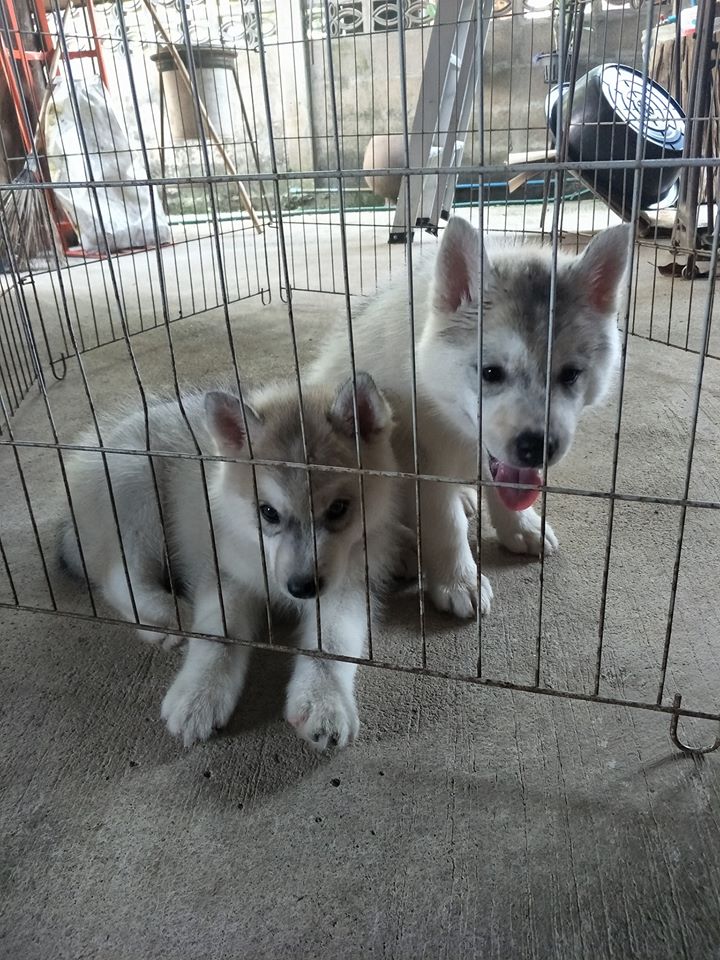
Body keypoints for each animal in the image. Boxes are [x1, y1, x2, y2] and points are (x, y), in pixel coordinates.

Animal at [58, 373, 399, 749]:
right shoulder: (224, 573)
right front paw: (198, 694)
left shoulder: (347, 586)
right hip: (135, 488)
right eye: (268, 512)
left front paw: (324, 699)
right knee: (119, 574)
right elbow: (219, 634)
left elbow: (334, 643)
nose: (302, 588)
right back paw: (165, 615)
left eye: (338, 508)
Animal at [311, 217, 631, 617]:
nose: (537, 447)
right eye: (491, 373)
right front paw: (459, 580)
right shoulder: (420, 455)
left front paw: (519, 526)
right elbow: (443, 522)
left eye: (570, 374)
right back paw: (401, 548)